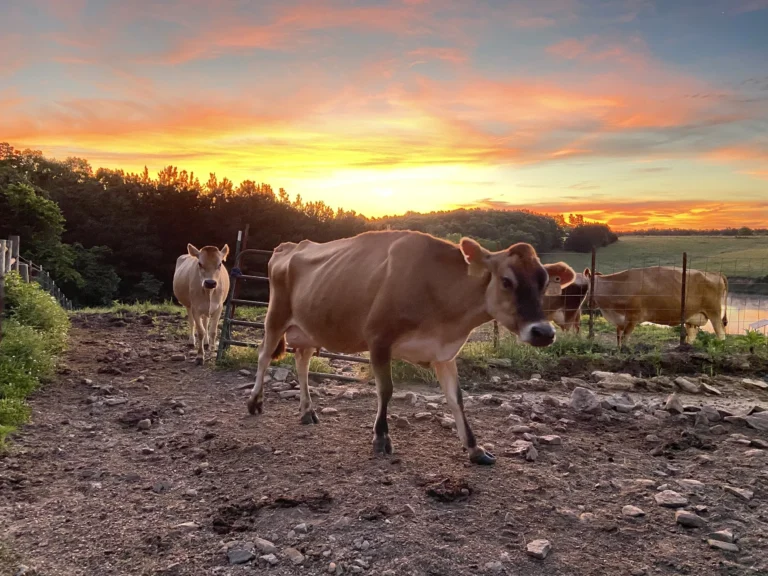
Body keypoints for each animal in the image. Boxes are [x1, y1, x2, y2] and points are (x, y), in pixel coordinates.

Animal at [246, 230, 576, 465]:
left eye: (544, 282)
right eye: (507, 281)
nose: (544, 332)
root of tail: (289, 245)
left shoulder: (444, 353)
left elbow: (456, 399)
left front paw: (474, 447)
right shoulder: (378, 338)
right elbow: (386, 390)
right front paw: (381, 439)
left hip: (309, 327)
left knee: (301, 361)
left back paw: (307, 411)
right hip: (275, 317)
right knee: (263, 356)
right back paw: (255, 402)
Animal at [584, 266, 728, 347]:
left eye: (585, 286)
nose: (587, 304)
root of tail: (716, 274)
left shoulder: (632, 318)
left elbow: (624, 339)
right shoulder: (620, 321)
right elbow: (619, 339)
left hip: (714, 312)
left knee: (721, 333)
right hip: (692, 318)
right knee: (692, 335)